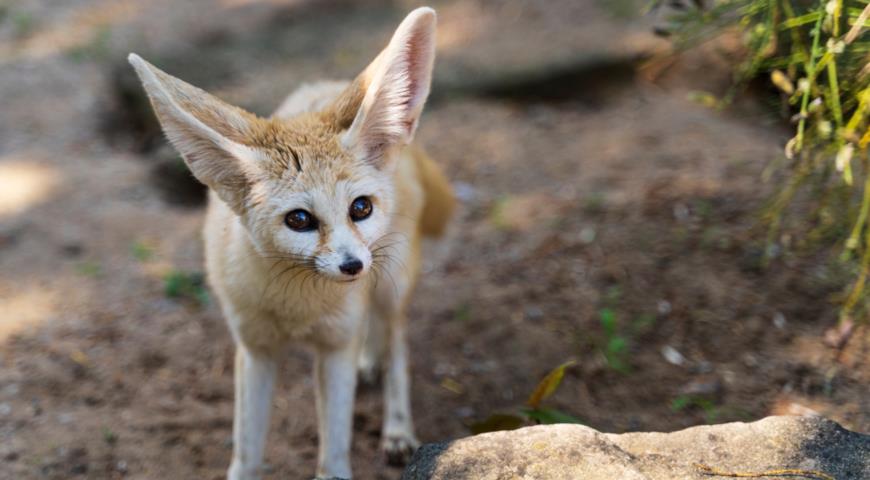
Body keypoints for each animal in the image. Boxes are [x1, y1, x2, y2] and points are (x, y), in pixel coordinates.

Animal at [129, 8, 456, 480]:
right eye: (299, 220)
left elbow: (334, 451)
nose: (353, 267)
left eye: (360, 208)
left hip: (391, 282)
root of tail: (325, 83)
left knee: (397, 343)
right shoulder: (255, 349)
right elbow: (247, 449)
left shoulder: (335, 345)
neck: (297, 306)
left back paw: (397, 426)